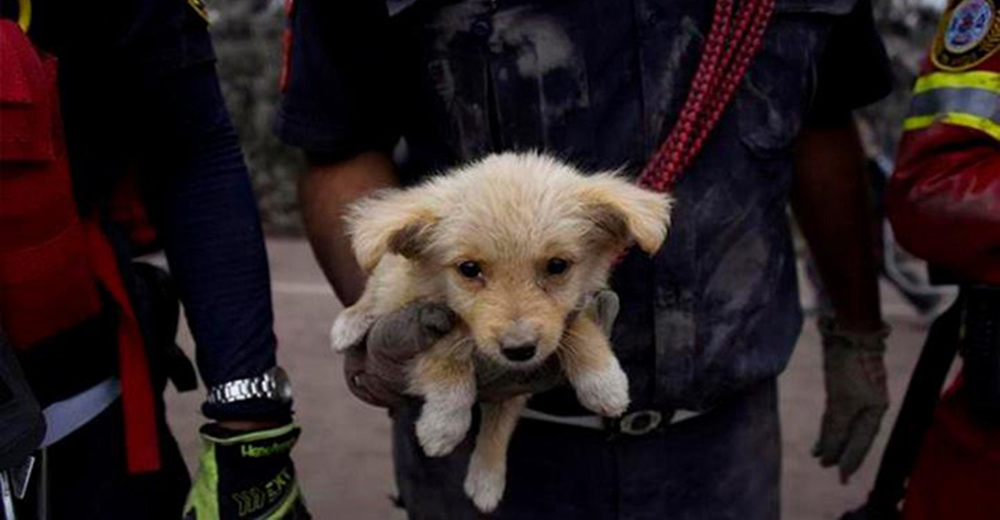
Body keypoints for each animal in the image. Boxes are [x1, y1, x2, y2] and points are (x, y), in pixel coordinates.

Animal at [330, 152, 672, 510]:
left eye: (557, 265)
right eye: (469, 269)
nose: (519, 349)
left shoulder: (518, 378)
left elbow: (505, 418)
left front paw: (603, 379)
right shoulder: (416, 316)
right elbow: (449, 351)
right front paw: (443, 423)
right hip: (388, 275)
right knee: (374, 286)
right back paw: (350, 322)